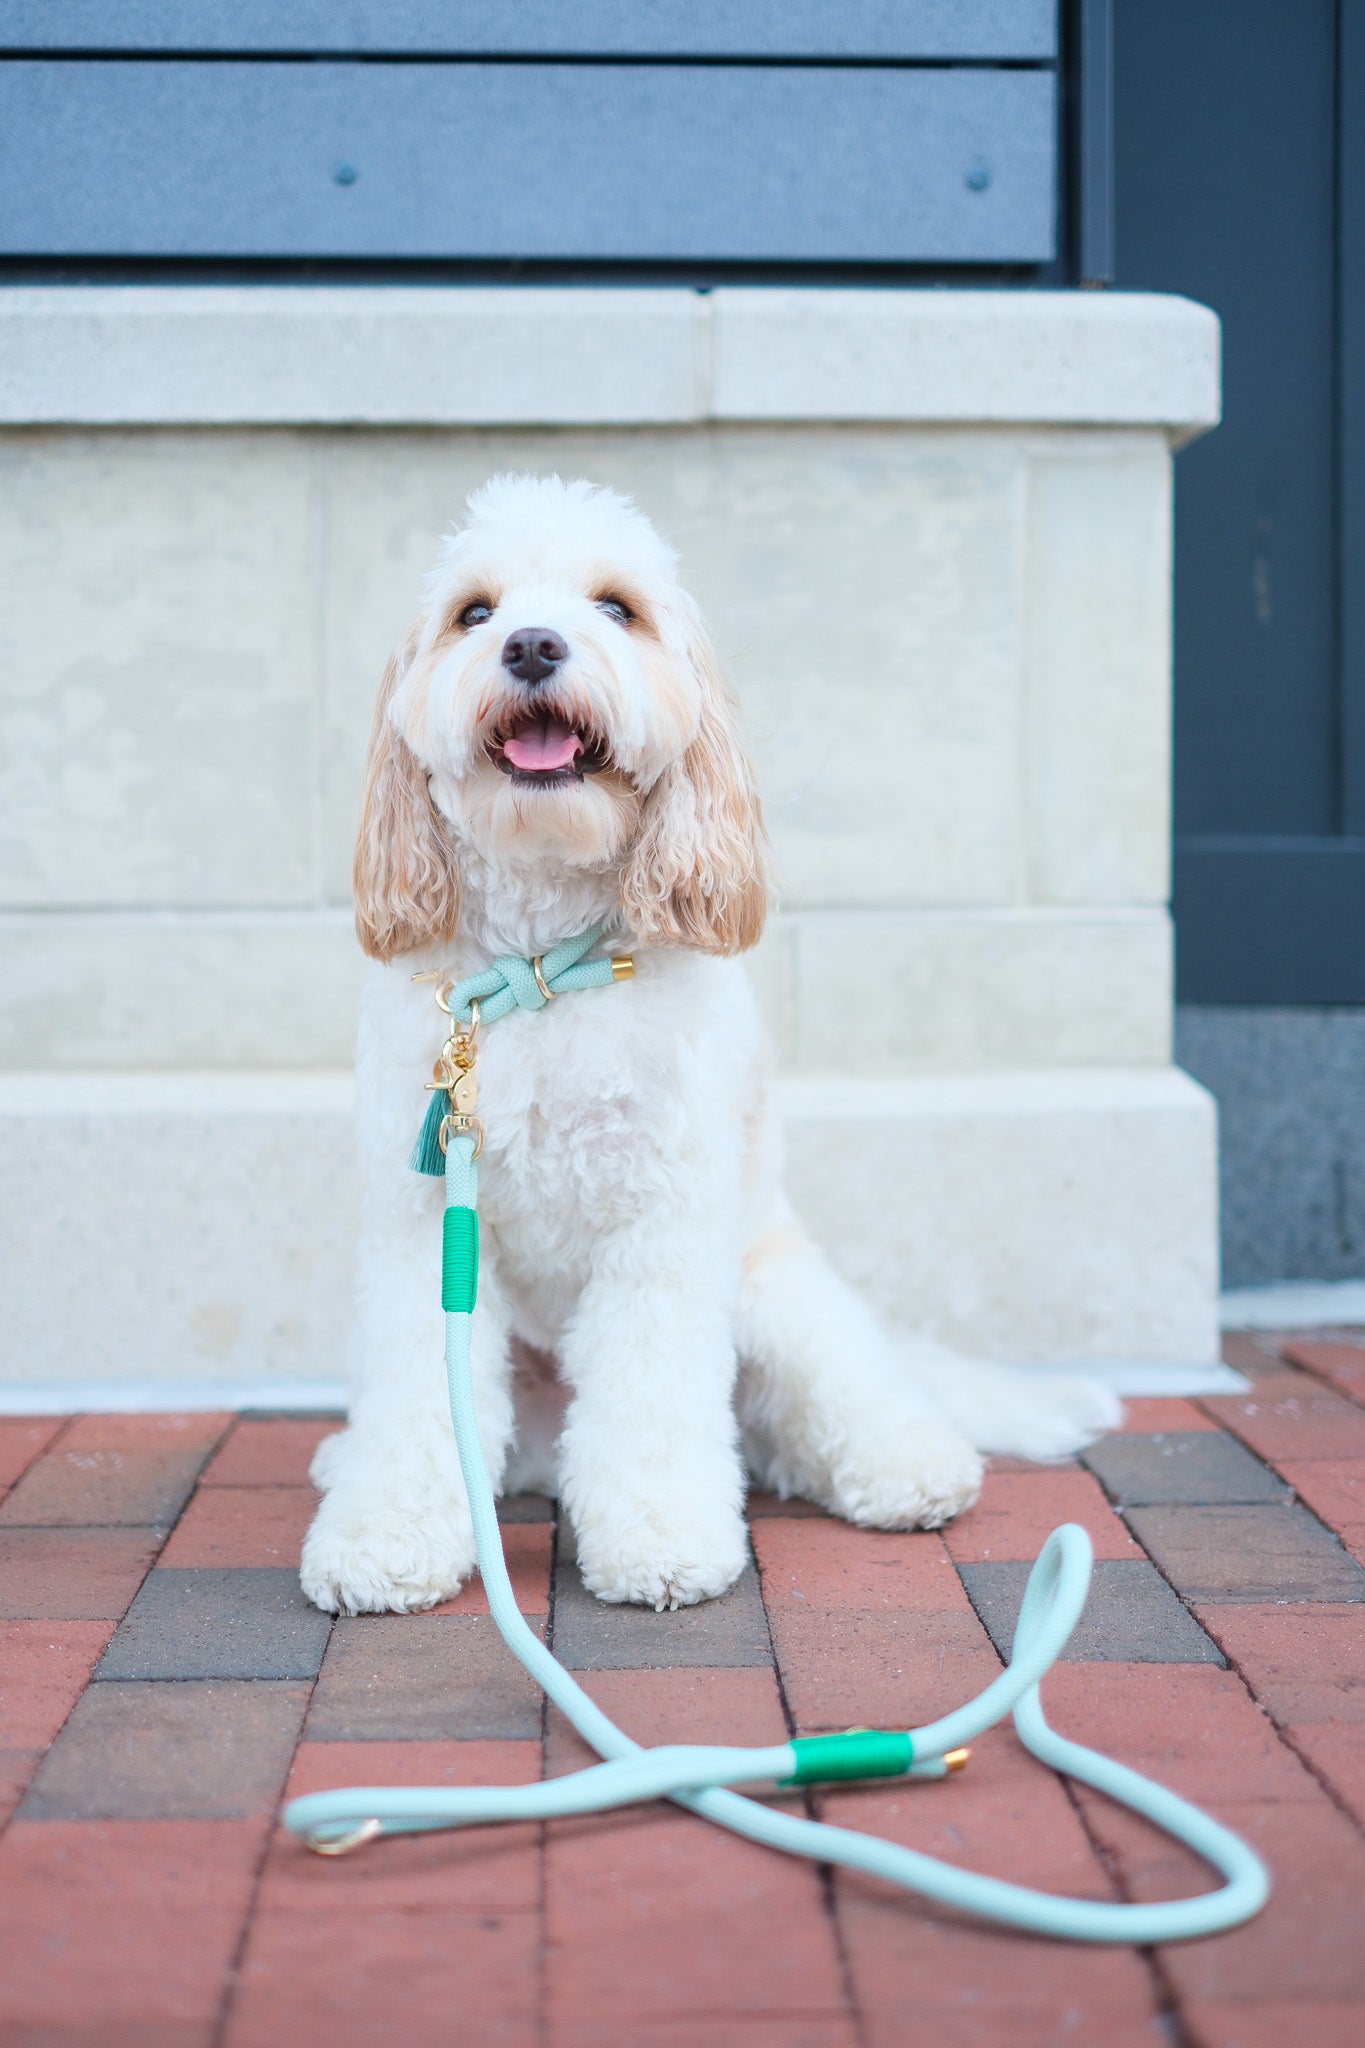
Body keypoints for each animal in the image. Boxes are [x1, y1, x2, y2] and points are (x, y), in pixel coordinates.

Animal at [300, 475, 1121, 1613]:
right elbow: (420, 1393)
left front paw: (659, 1535)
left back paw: (910, 1468)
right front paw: (383, 1533)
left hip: (778, 1301)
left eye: (616, 607)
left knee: (826, 1415)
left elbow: (652, 1393)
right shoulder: (426, 1222)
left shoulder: (664, 1219)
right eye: (474, 612)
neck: (545, 970)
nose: (532, 645)